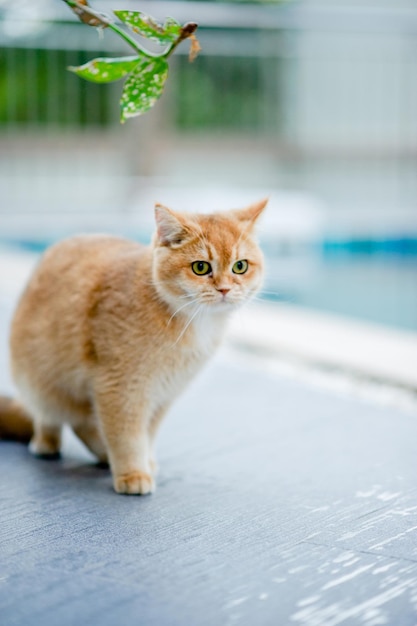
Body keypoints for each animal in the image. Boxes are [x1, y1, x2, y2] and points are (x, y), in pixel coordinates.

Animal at [0, 200, 266, 492]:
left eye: (240, 266)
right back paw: (48, 444)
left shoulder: (163, 394)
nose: (225, 290)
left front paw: (145, 461)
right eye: (200, 267)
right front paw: (132, 473)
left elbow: (146, 434)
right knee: (57, 419)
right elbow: (127, 436)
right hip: (42, 385)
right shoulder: (120, 388)